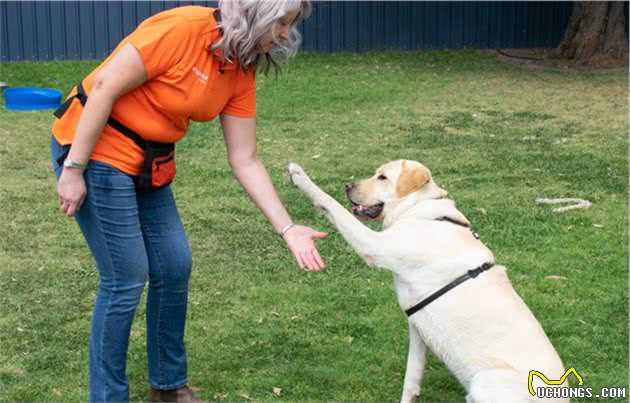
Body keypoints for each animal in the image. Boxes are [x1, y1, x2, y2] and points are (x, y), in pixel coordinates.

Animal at [288, 161, 572, 403]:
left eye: (382, 177)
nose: (348, 185)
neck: (418, 211)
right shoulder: (417, 329)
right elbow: (410, 381)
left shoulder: (374, 246)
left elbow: (331, 204)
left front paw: (300, 176)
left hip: (487, 381)